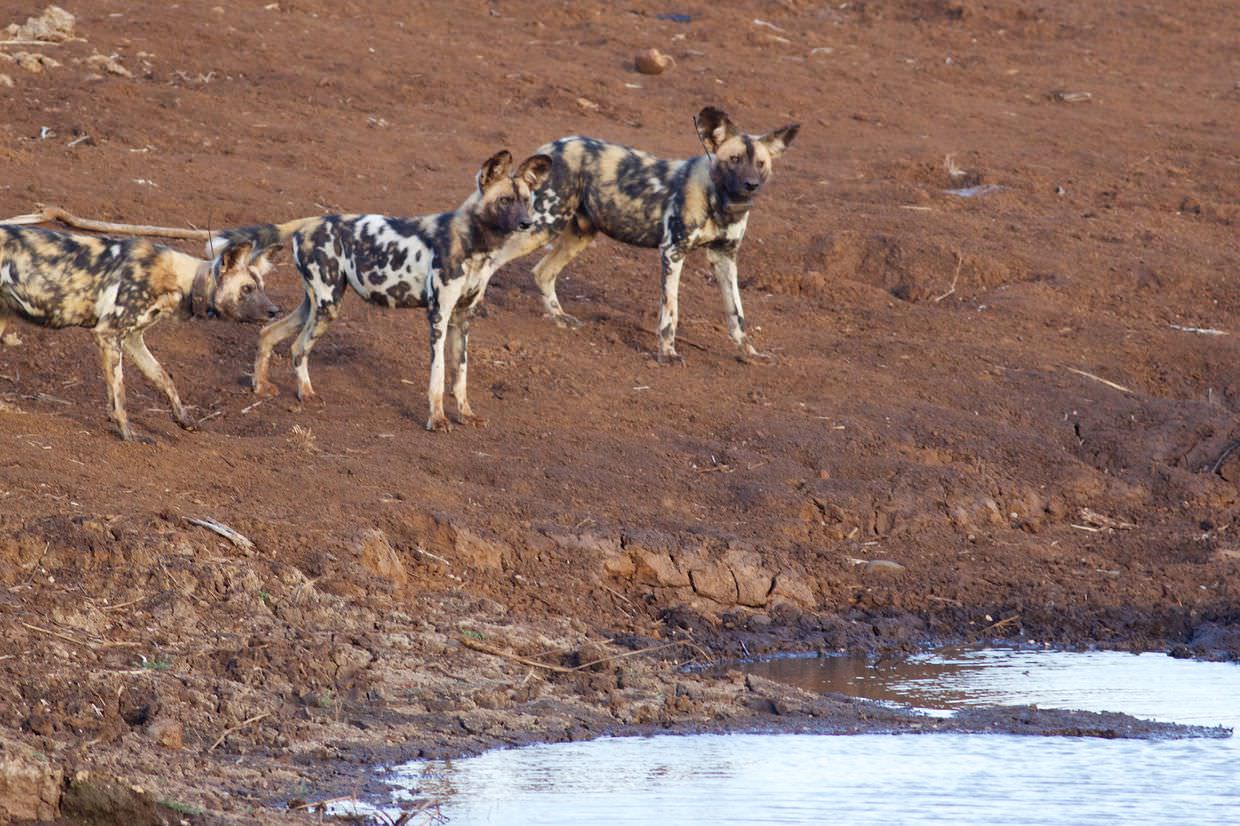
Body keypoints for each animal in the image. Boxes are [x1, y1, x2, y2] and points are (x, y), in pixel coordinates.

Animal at [1, 222, 279, 441]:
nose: (275, 311)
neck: (182, 281)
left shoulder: (133, 340)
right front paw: (128, 434)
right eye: (247, 289)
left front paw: (183, 420)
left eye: (262, 287)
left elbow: (164, 379)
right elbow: (120, 394)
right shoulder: (108, 334)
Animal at [212, 150, 553, 431]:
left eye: (526, 200)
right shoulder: (439, 317)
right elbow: (439, 375)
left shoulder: (462, 319)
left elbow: (461, 375)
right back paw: (305, 394)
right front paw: (437, 420)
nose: (527, 223)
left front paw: (466, 415)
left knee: (268, 333)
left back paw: (261, 387)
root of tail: (309, 221)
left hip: (315, 304)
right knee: (298, 347)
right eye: (505, 200)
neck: (477, 244)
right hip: (328, 305)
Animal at [496, 105, 803, 359]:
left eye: (760, 164)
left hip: (579, 234)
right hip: (542, 226)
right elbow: (670, 312)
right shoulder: (673, 252)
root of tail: (553, 145)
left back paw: (560, 318)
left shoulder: (724, 257)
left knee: (542, 272)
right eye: (735, 159)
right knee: (493, 259)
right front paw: (667, 354)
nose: (750, 185)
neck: (723, 204)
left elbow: (737, 314)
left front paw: (750, 353)